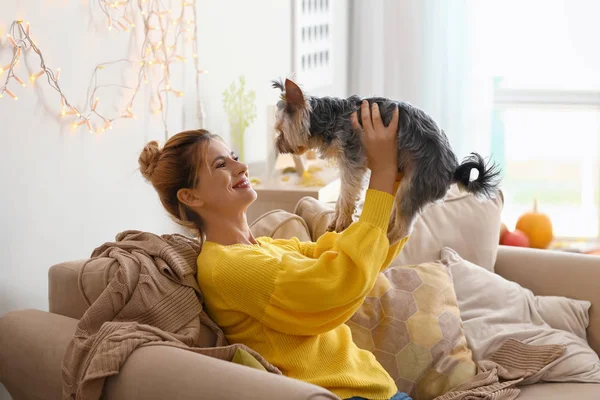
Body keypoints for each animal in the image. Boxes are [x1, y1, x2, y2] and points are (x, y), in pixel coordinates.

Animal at [272, 78, 502, 244]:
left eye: (279, 130)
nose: (277, 145)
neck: (330, 118)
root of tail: (452, 171)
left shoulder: (352, 160)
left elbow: (346, 194)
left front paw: (341, 222)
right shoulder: (348, 164)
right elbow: (342, 196)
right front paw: (336, 220)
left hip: (414, 185)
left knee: (404, 229)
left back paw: (386, 241)